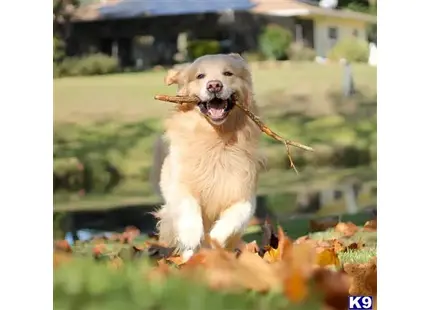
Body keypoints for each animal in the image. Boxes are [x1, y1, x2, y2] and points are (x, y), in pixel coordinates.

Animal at [154, 54, 262, 262]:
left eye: (228, 73)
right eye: (200, 76)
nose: (214, 86)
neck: (215, 139)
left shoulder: (244, 194)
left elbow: (234, 219)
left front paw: (215, 239)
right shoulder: (180, 186)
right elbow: (189, 208)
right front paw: (192, 235)